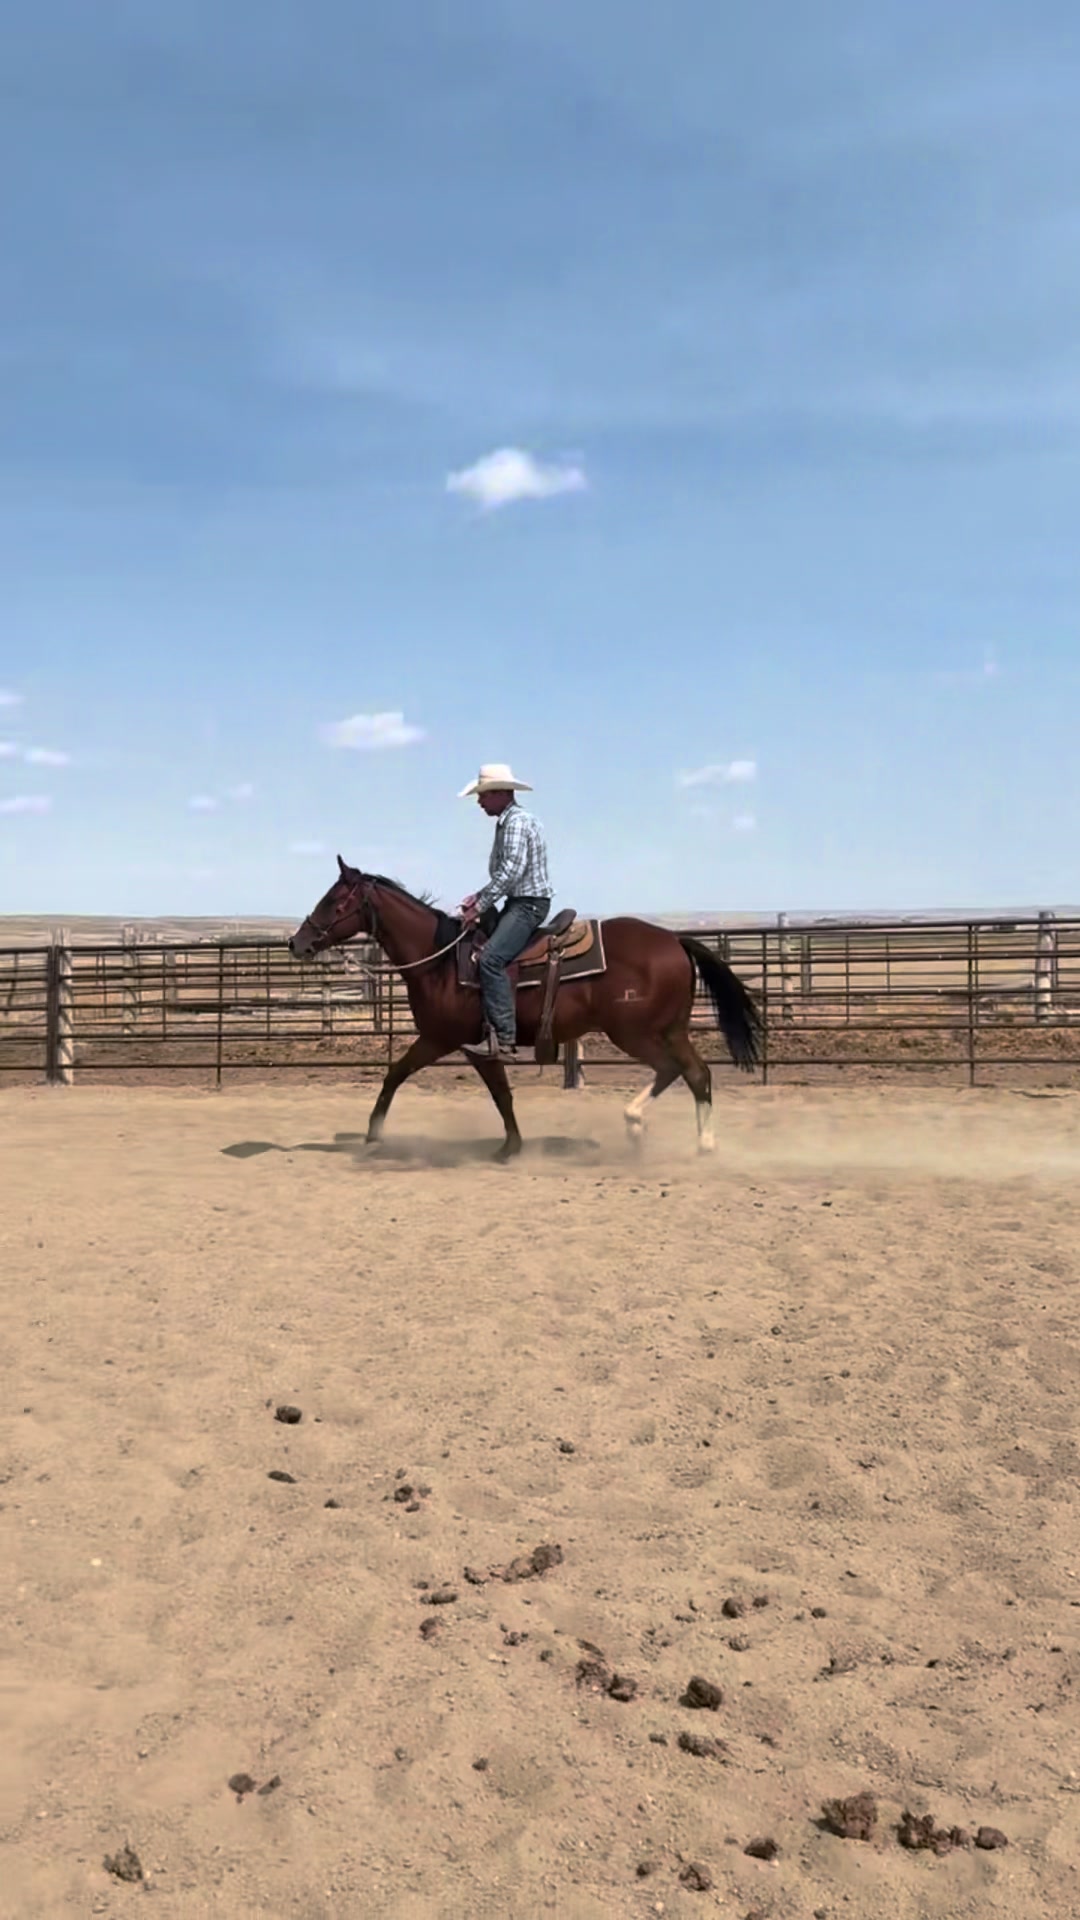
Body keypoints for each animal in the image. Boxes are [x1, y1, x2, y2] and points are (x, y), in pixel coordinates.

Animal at [288, 859, 762, 1160]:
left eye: (334, 901)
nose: (297, 942)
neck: (441, 960)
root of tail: (674, 940)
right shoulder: (469, 1044)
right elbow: (496, 1093)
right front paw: (512, 1145)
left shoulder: (450, 1040)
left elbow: (404, 1075)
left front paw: (373, 1135)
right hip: (666, 1030)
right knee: (688, 1072)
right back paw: (664, 1133)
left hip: (638, 1032)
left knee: (683, 1071)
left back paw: (673, 1136)